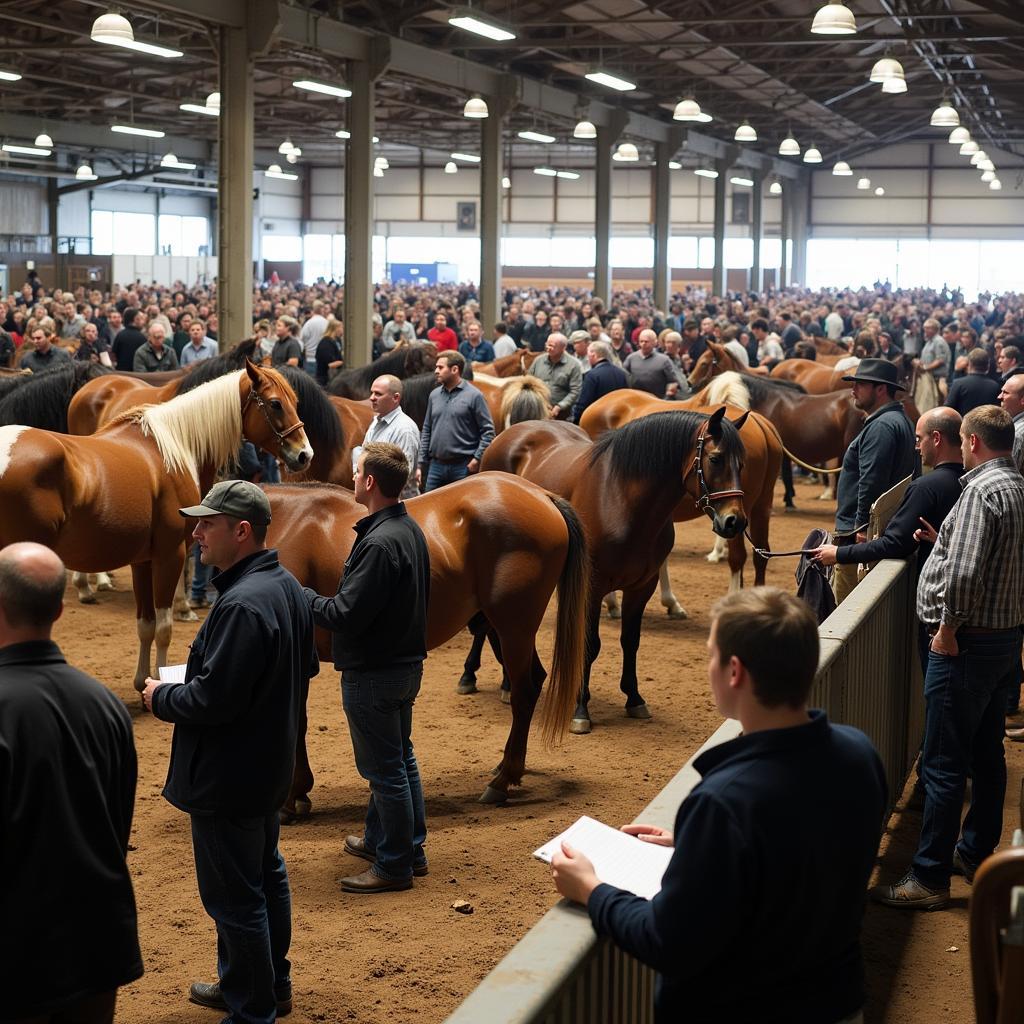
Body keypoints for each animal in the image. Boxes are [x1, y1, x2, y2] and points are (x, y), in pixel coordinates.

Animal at [0, 364, 311, 692]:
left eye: (295, 401)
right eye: (275, 403)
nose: (305, 454)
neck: (178, 447)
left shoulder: (142, 560)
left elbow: (145, 624)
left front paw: (142, 679)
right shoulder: (169, 555)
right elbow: (163, 626)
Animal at [260, 473, 589, 815]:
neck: (286, 523)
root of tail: (543, 496)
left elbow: (295, 723)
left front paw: (292, 798)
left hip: (514, 629)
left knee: (524, 692)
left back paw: (502, 782)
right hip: (504, 631)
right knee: (534, 681)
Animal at [479, 407, 745, 737]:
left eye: (742, 463)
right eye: (716, 459)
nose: (735, 521)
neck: (621, 499)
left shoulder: (642, 587)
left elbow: (631, 641)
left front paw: (634, 698)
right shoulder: (593, 588)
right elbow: (590, 646)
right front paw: (581, 710)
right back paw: (504, 683)